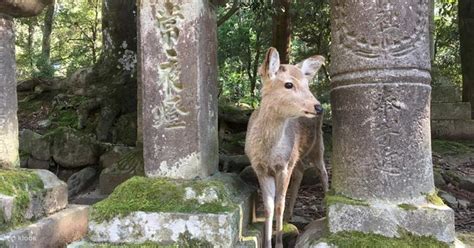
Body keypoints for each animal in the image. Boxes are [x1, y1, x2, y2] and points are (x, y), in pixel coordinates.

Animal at [244, 47, 330, 247]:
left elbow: (279, 204)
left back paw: (326, 206)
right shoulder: (259, 168)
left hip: (317, 146)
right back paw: (291, 215)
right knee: (301, 170)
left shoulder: (283, 166)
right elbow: (268, 206)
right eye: (288, 84)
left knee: (323, 172)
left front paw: (279, 242)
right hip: (296, 156)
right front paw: (267, 242)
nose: (318, 107)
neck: (268, 152)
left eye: (307, 85)